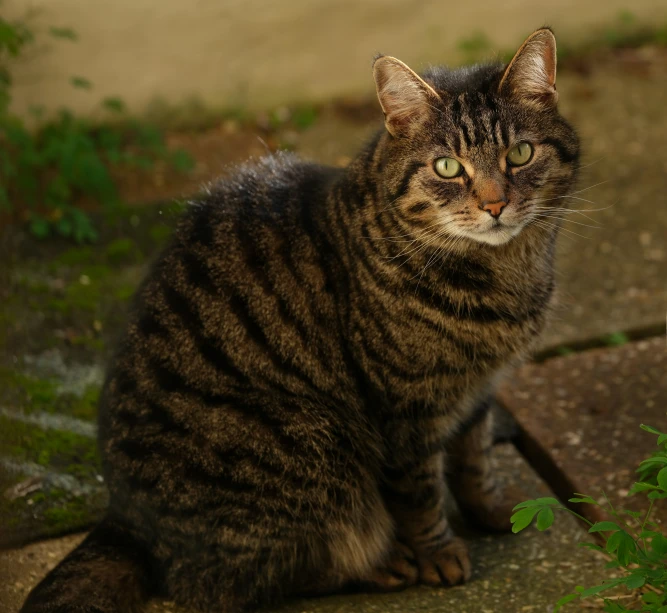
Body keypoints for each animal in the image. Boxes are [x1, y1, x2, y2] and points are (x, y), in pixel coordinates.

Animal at [20, 27, 580, 612]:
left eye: (520, 154)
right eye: (447, 167)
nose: (495, 205)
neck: (502, 276)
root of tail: (127, 522)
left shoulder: (479, 392)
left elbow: (474, 461)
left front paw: (495, 511)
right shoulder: (405, 410)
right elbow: (420, 492)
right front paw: (437, 551)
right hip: (317, 448)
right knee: (235, 578)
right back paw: (385, 563)